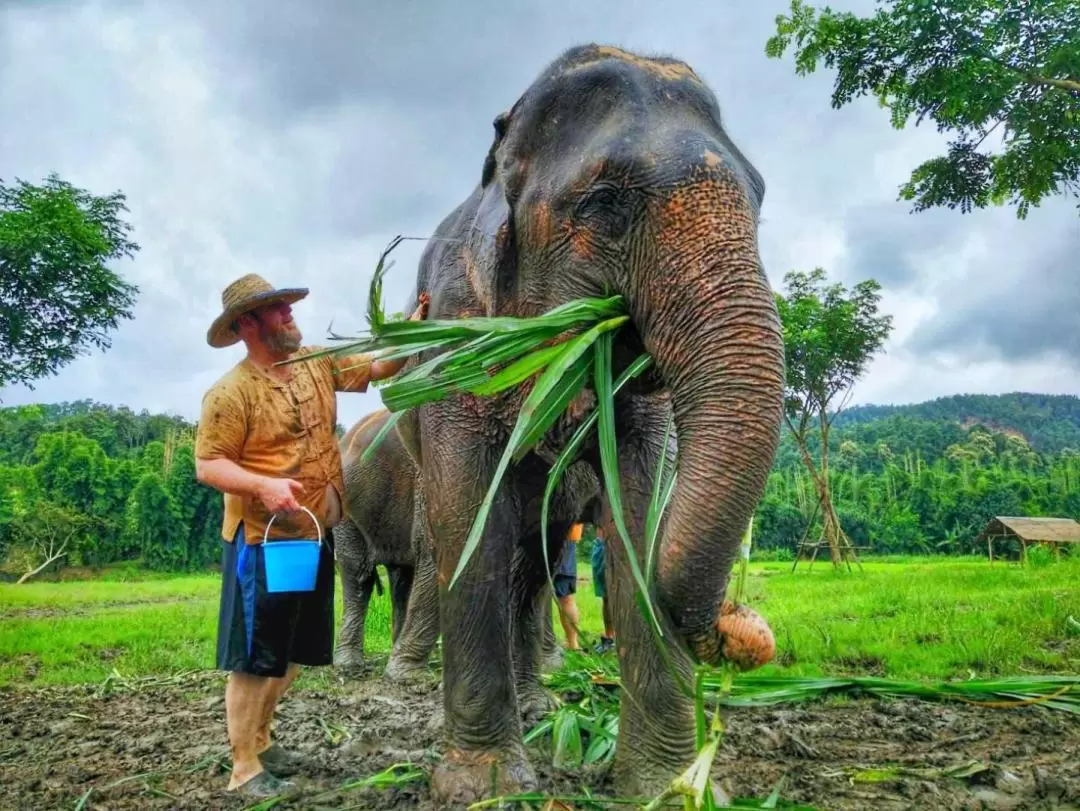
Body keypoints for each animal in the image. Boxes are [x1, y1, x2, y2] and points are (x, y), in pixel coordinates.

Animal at [388, 44, 786, 807]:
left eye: (759, 201)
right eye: (604, 204)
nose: (742, 625)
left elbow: (639, 520)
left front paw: (667, 789)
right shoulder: (458, 334)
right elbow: (469, 524)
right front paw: (482, 788)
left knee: (535, 562)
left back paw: (540, 705)